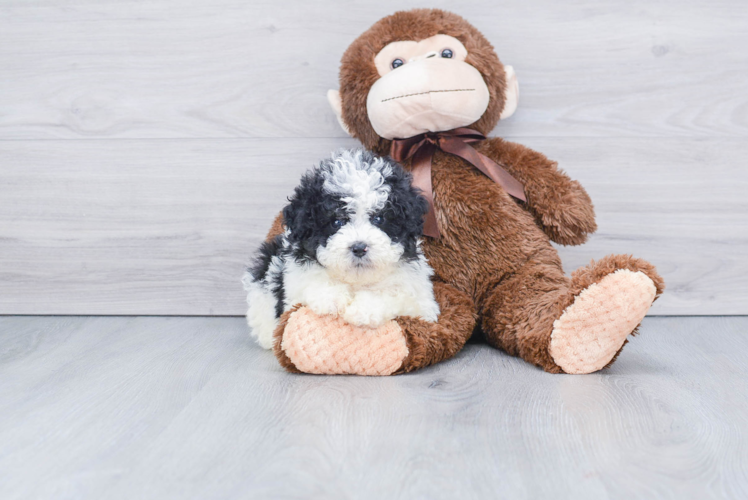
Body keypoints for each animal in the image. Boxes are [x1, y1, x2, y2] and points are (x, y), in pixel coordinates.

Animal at [243, 149, 442, 348]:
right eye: (337, 222)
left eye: (379, 218)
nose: (359, 248)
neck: (356, 280)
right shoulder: (295, 282)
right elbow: (312, 283)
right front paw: (331, 298)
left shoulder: (422, 303)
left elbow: (395, 294)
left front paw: (364, 310)